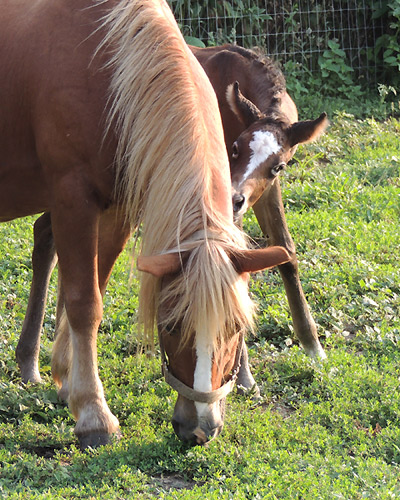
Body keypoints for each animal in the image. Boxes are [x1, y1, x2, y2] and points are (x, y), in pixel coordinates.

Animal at [0, 0, 294, 446]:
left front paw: (68, 380)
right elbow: (84, 302)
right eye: (169, 325)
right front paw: (94, 414)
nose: (200, 427)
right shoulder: (73, 199)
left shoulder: (117, 209)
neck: (110, 70)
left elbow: (93, 289)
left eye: (238, 328)